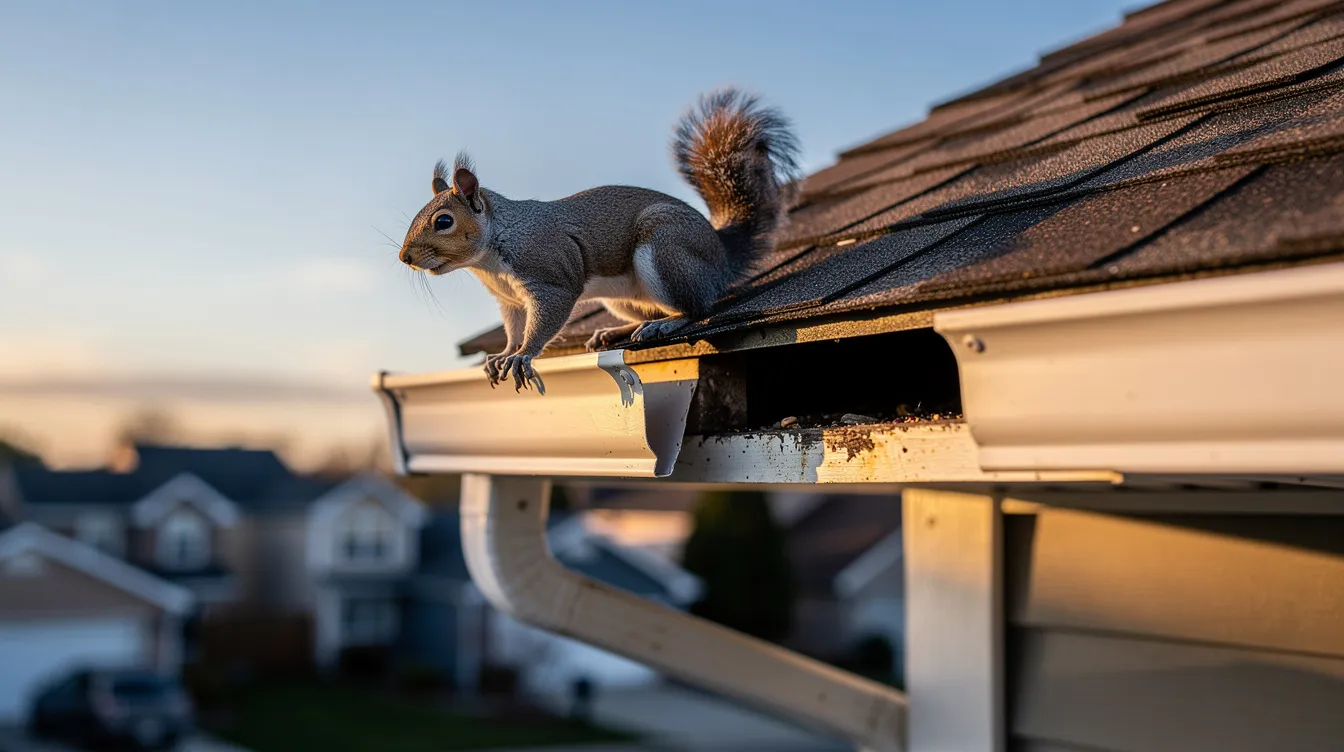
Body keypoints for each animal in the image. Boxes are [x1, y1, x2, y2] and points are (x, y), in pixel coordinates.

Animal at [399, 88, 801, 394]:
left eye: (444, 221)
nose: (405, 257)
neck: (490, 257)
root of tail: (722, 256)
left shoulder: (550, 274)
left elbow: (545, 318)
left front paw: (523, 355)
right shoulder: (509, 301)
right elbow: (513, 328)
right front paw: (503, 354)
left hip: (666, 254)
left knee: (698, 307)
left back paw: (665, 324)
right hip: (621, 297)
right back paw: (616, 331)